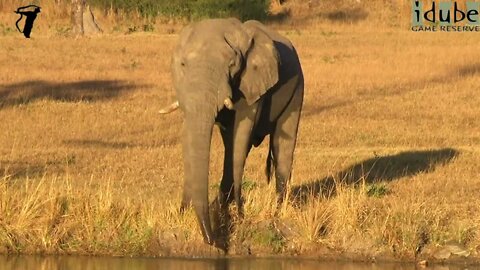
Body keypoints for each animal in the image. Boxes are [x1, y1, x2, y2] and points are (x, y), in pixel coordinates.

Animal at [160, 17, 304, 247]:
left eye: (231, 65)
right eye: (182, 65)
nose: (212, 241)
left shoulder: (252, 80)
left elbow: (241, 135)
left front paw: (239, 213)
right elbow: (190, 133)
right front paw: (183, 213)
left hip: (298, 86)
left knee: (282, 146)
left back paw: (278, 211)